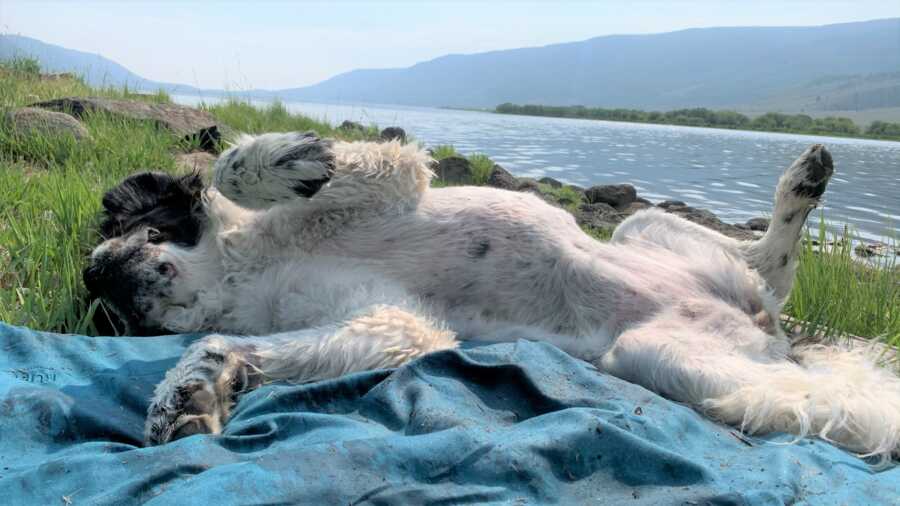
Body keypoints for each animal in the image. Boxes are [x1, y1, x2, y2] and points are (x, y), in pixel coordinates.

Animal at [84, 132, 900, 460]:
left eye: (124, 222)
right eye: (108, 319)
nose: (95, 276)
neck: (244, 269)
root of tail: (762, 330)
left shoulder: (392, 180)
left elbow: (234, 168)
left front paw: (290, 160)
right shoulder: (395, 324)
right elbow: (231, 344)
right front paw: (190, 390)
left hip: (642, 229)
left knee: (770, 263)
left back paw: (802, 181)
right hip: (666, 356)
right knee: (782, 297)